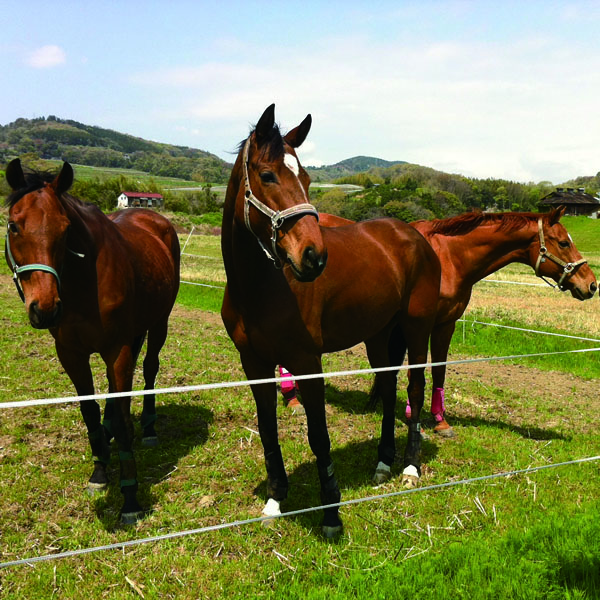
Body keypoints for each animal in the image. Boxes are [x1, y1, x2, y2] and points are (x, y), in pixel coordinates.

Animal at [4, 161, 179, 524]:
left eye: (65, 228)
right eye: (13, 225)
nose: (45, 308)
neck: (84, 282)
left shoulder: (116, 350)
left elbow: (124, 420)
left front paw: (130, 497)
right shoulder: (71, 353)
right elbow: (90, 411)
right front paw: (99, 471)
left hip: (158, 324)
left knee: (149, 369)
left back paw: (149, 428)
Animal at [220, 104, 440, 540]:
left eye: (306, 178)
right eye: (267, 175)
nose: (314, 256)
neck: (259, 287)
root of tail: (414, 235)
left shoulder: (307, 363)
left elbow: (318, 436)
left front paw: (331, 514)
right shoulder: (253, 364)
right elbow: (267, 430)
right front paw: (275, 499)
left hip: (416, 327)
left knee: (415, 387)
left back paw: (410, 466)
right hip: (379, 335)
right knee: (388, 388)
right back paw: (383, 461)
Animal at [322, 209, 596, 434]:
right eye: (563, 242)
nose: (591, 284)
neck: (448, 257)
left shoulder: (446, 324)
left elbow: (438, 369)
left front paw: (439, 421)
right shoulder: (415, 325)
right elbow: (412, 369)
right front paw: (412, 417)